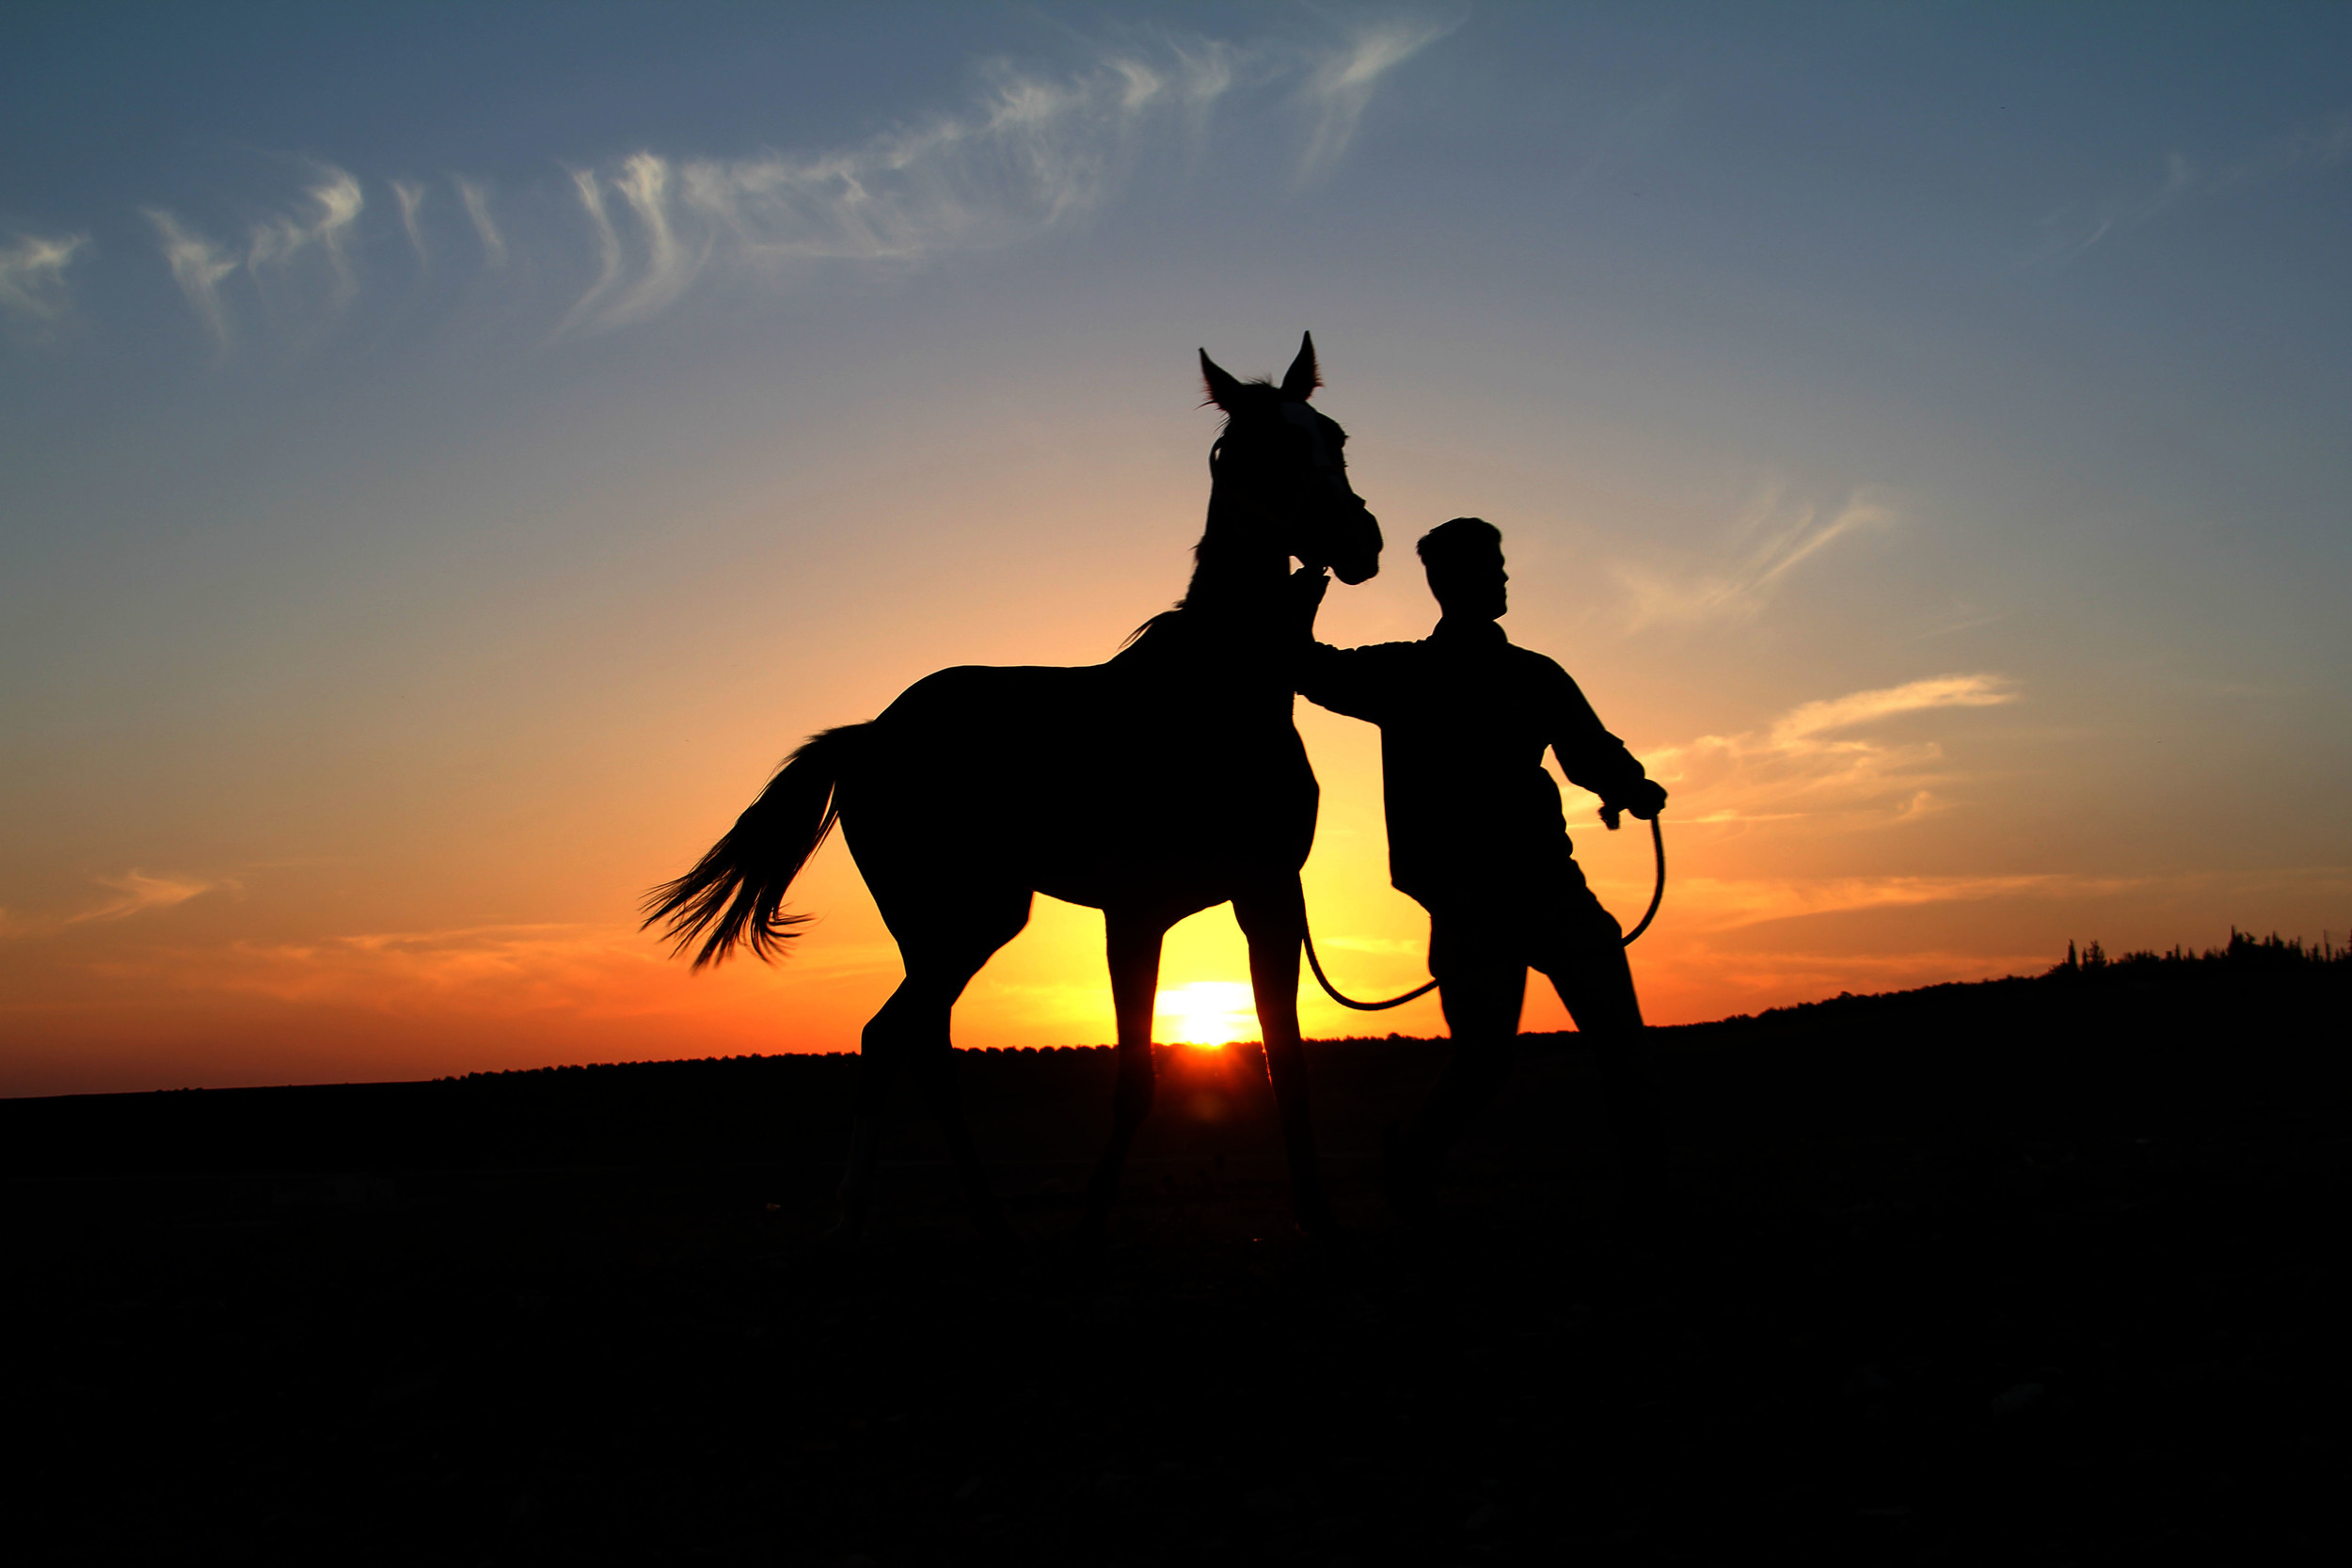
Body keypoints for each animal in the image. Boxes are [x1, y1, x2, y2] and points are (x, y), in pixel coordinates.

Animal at [644, 338, 1374, 1241]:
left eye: (1334, 437)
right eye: (1258, 451)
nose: (1362, 540)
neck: (1211, 700)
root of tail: (869, 735)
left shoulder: (1268, 896)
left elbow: (1287, 1063)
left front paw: (1318, 1220)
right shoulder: (1136, 917)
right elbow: (1136, 1080)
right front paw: (1090, 1221)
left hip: (972, 923)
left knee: (909, 1039)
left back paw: (974, 1213)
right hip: (950, 920)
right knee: (899, 1036)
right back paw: (877, 1209)